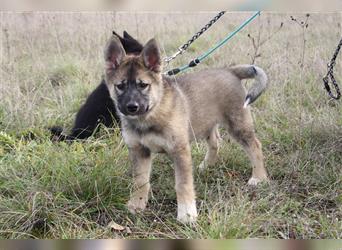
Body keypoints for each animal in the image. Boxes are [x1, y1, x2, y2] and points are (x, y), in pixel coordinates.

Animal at [104, 34, 270, 223]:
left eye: (143, 85)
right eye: (120, 86)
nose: (132, 107)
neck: (150, 115)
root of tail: (230, 71)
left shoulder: (179, 151)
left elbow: (182, 184)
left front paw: (187, 214)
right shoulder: (139, 151)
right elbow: (140, 181)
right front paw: (136, 205)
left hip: (238, 125)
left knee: (255, 146)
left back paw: (258, 177)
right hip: (206, 123)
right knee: (215, 143)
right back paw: (207, 165)